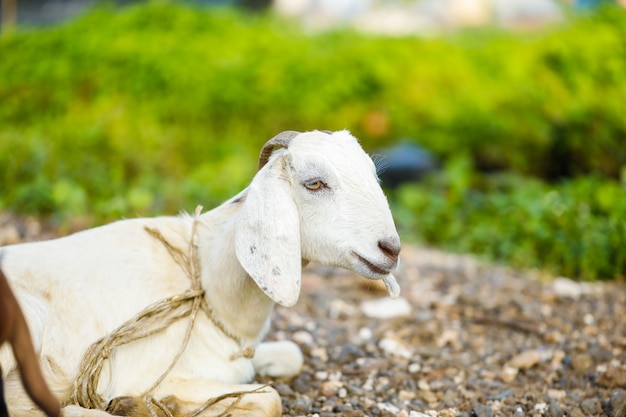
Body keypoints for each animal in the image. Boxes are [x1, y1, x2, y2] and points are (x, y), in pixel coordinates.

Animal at [0, 128, 400, 414]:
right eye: (314, 183)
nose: (392, 249)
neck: (210, 286)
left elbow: (291, 354)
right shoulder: (144, 372)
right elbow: (271, 398)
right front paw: (160, 403)